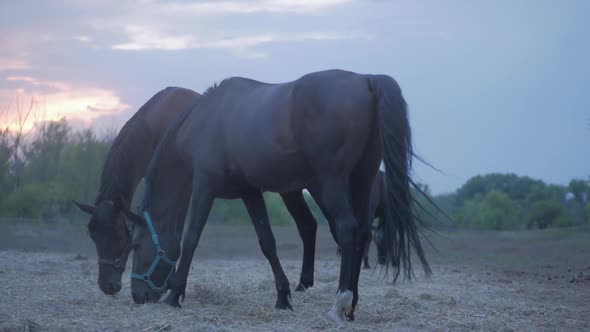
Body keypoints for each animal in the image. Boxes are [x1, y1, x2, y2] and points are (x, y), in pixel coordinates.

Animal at [125, 69, 432, 322]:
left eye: (136, 246)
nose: (138, 296)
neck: (207, 117)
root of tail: (366, 79)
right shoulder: (249, 192)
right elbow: (267, 243)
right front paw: (283, 297)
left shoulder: (204, 184)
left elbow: (190, 239)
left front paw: (175, 295)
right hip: (361, 180)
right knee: (362, 235)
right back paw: (352, 305)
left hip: (332, 182)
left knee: (347, 230)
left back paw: (339, 303)